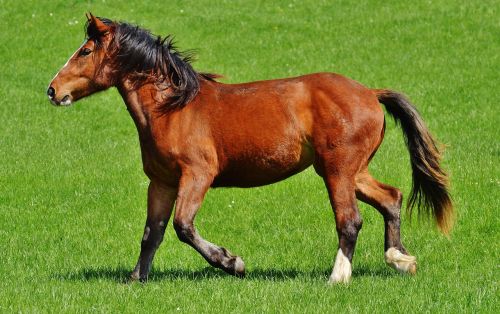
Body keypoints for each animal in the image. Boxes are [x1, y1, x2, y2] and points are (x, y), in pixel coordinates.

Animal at [47, 13, 454, 284]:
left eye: (85, 51)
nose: (52, 90)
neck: (173, 108)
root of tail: (370, 92)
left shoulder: (197, 175)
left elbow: (183, 226)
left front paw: (232, 262)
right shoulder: (161, 182)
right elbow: (153, 233)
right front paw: (136, 279)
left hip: (337, 170)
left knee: (350, 220)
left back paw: (338, 278)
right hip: (351, 170)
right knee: (391, 198)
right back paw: (400, 259)